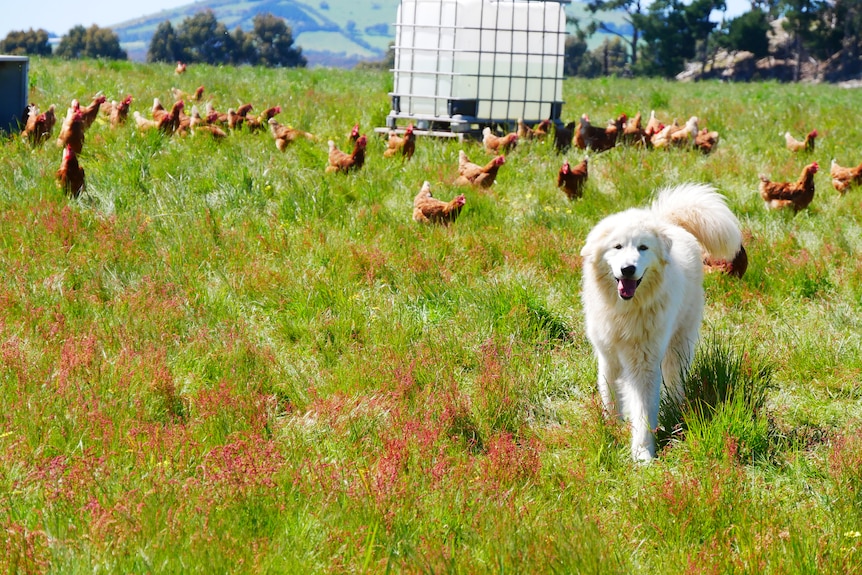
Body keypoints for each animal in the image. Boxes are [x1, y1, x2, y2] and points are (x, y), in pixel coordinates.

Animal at [580, 184, 744, 464]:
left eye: (643, 248)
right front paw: (612, 429)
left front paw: (642, 453)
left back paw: (675, 409)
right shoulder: (608, 356)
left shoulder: (645, 363)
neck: (626, 311)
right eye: (617, 246)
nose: (628, 269)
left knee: (675, 379)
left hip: (679, 344)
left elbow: (643, 410)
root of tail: (668, 222)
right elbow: (611, 397)